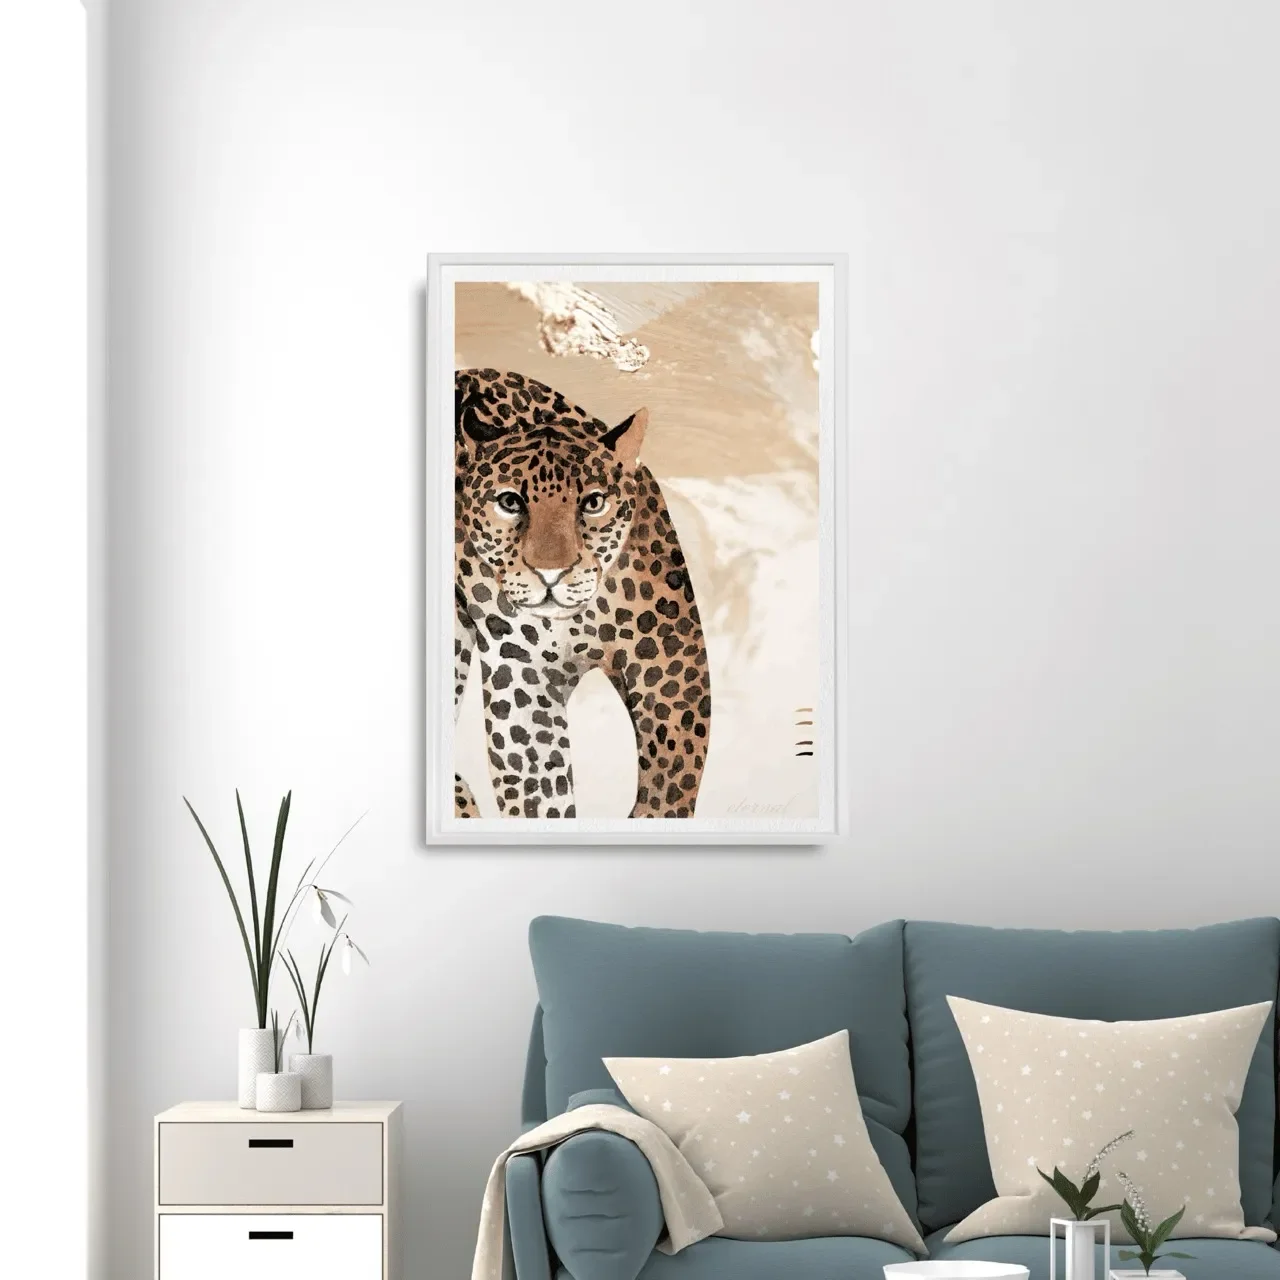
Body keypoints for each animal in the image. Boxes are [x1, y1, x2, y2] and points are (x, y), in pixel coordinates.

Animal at [452, 367, 712, 820]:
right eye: (510, 502)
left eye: (593, 503)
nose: (551, 573)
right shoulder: (524, 684)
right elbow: (540, 790)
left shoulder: (671, 662)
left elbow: (672, 777)